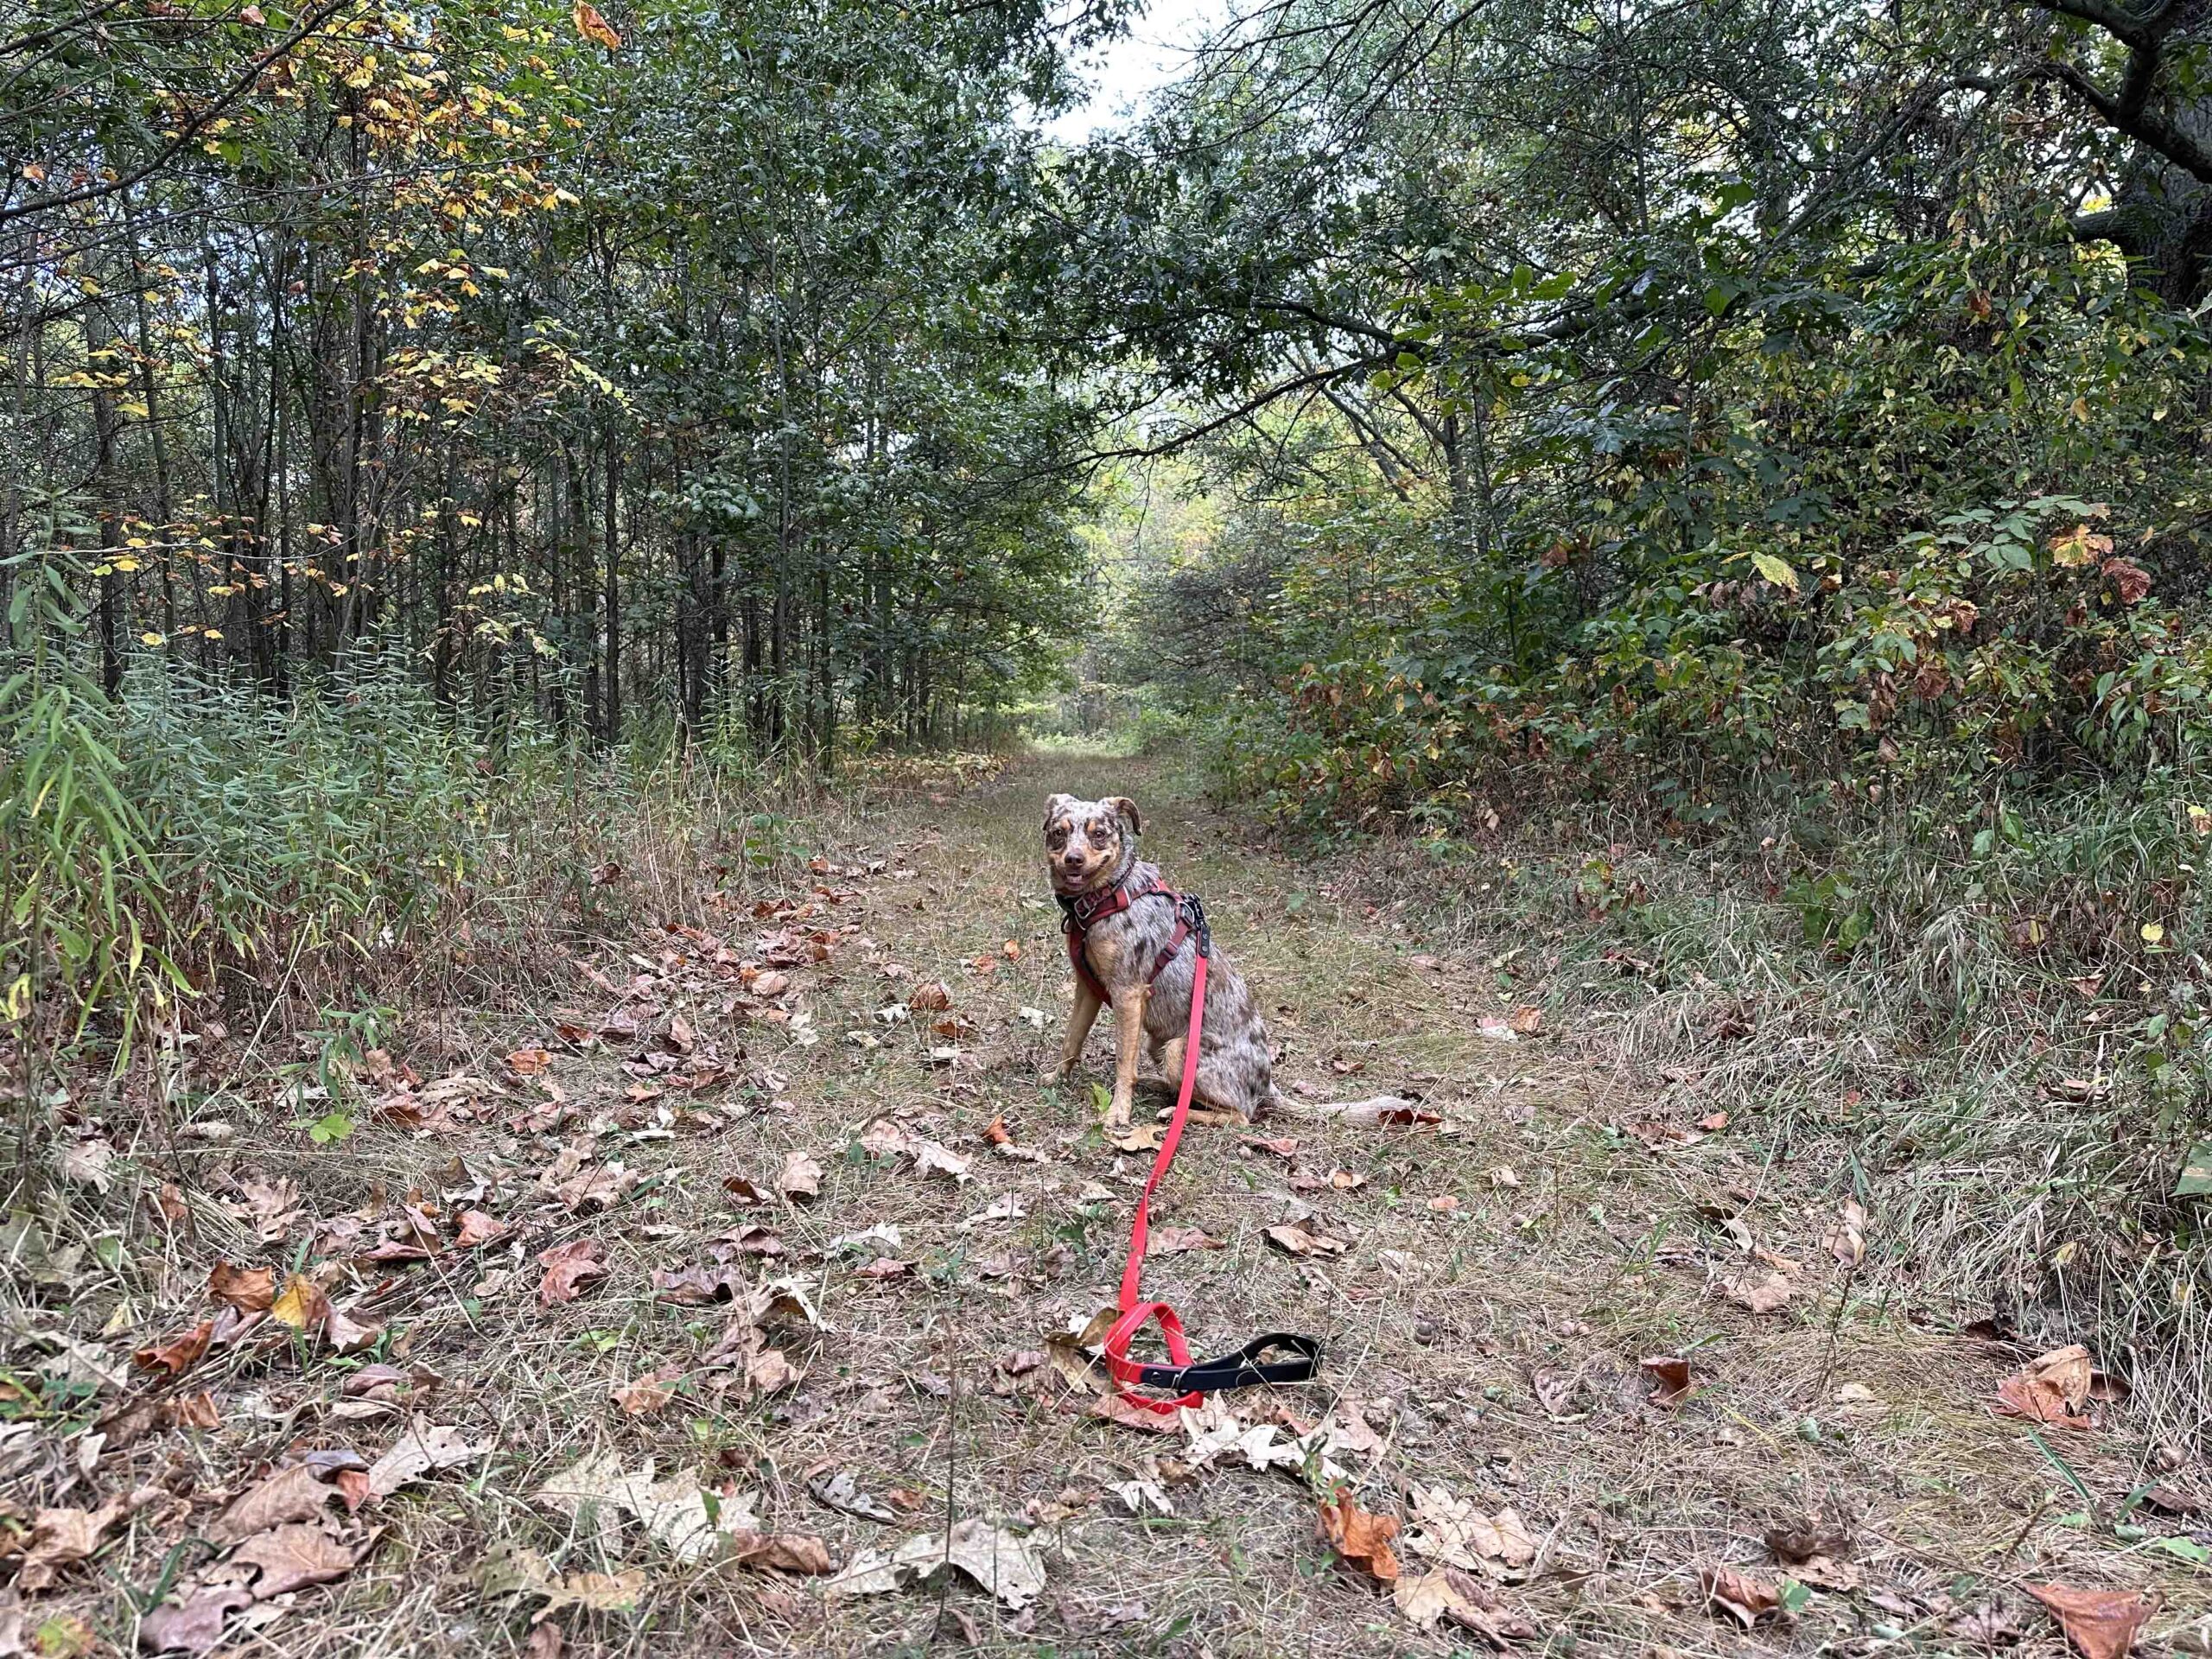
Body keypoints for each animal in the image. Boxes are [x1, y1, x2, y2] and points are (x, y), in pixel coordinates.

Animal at [1039, 791, 1282, 1132]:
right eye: (1058, 833)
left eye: (1098, 834)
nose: (1073, 859)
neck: (1107, 897)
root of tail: (1266, 1086)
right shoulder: (1087, 988)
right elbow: (1071, 1040)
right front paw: (1057, 1078)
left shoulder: (1128, 993)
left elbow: (1123, 1062)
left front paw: (1119, 1112)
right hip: (1159, 1045)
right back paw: (1155, 1084)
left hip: (1180, 1050)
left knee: (1239, 1116)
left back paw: (1174, 1112)